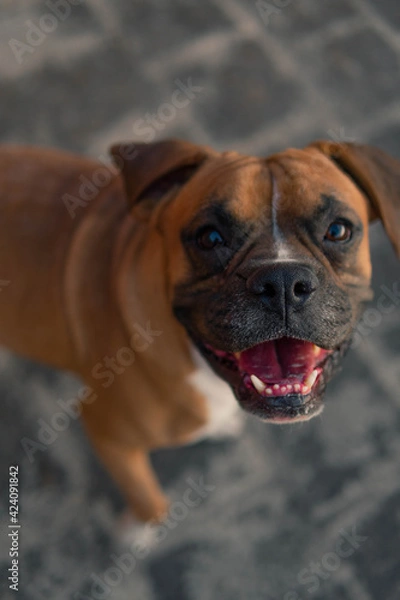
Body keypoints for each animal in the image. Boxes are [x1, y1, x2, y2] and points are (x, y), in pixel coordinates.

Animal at [0, 139, 398, 520]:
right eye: (210, 238)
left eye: (338, 230)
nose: (283, 281)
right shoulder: (107, 432)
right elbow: (147, 498)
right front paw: (141, 528)